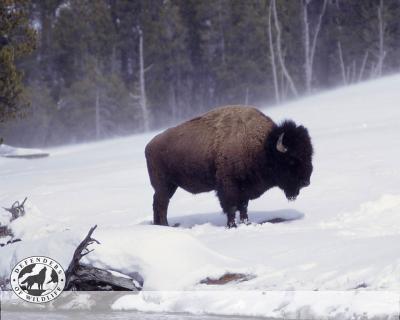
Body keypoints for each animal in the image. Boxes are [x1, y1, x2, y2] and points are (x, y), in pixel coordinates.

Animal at [145, 105, 314, 228]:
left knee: (159, 204)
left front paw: (246, 223)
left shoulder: (245, 189)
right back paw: (164, 226)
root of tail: (149, 145)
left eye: (309, 154)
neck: (263, 147)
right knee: (161, 204)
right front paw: (232, 226)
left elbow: (243, 208)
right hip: (163, 186)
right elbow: (231, 207)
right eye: (292, 159)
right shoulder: (228, 186)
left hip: (170, 186)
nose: (306, 182)